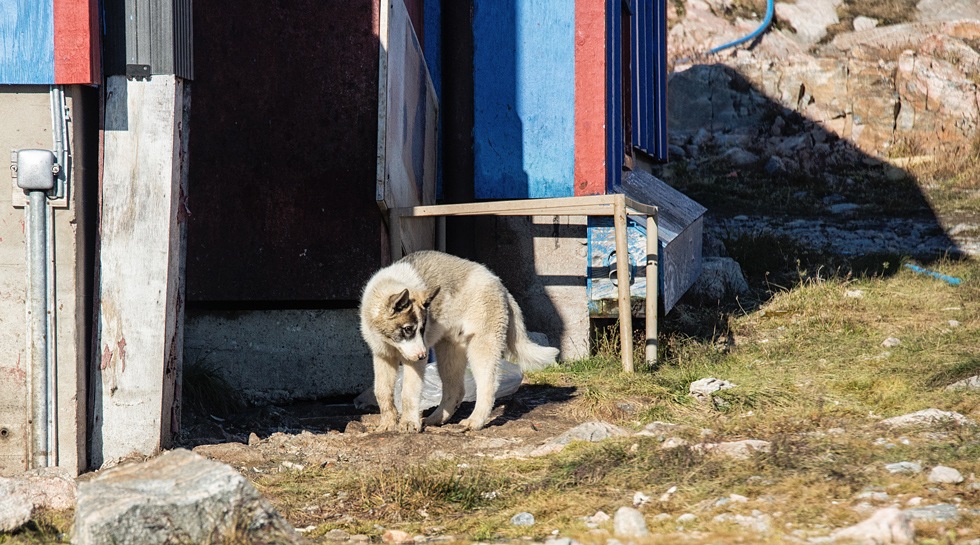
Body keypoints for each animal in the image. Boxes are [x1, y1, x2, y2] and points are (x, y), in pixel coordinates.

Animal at [360, 249, 560, 432]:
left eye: (422, 329)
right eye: (408, 329)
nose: (423, 355)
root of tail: (500, 286)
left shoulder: (414, 361)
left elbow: (408, 392)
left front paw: (408, 423)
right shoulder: (382, 356)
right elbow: (382, 392)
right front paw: (387, 424)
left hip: (481, 346)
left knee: (487, 386)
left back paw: (475, 421)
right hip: (449, 351)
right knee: (456, 390)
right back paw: (436, 419)